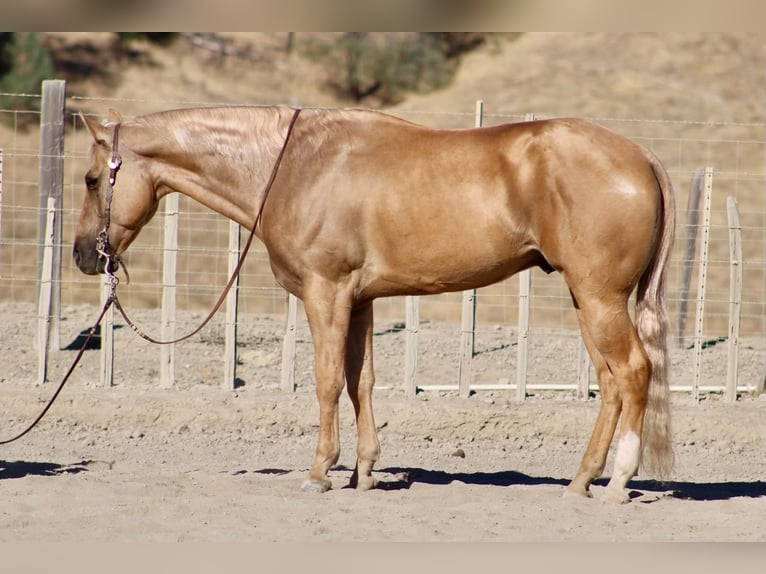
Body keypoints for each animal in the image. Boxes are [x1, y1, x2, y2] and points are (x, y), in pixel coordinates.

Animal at [73, 105, 676, 503]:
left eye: (90, 179)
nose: (83, 255)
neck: (296, 164)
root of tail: (641, 156)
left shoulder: (326, 292)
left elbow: (325, 381)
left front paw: (320, 470)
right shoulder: (359, 302)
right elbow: (358, 382)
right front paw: (363, 472)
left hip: (600, 298)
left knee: (633, 372)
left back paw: (619, 481)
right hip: (585, 299)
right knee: (611, 383)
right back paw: (580, 481)